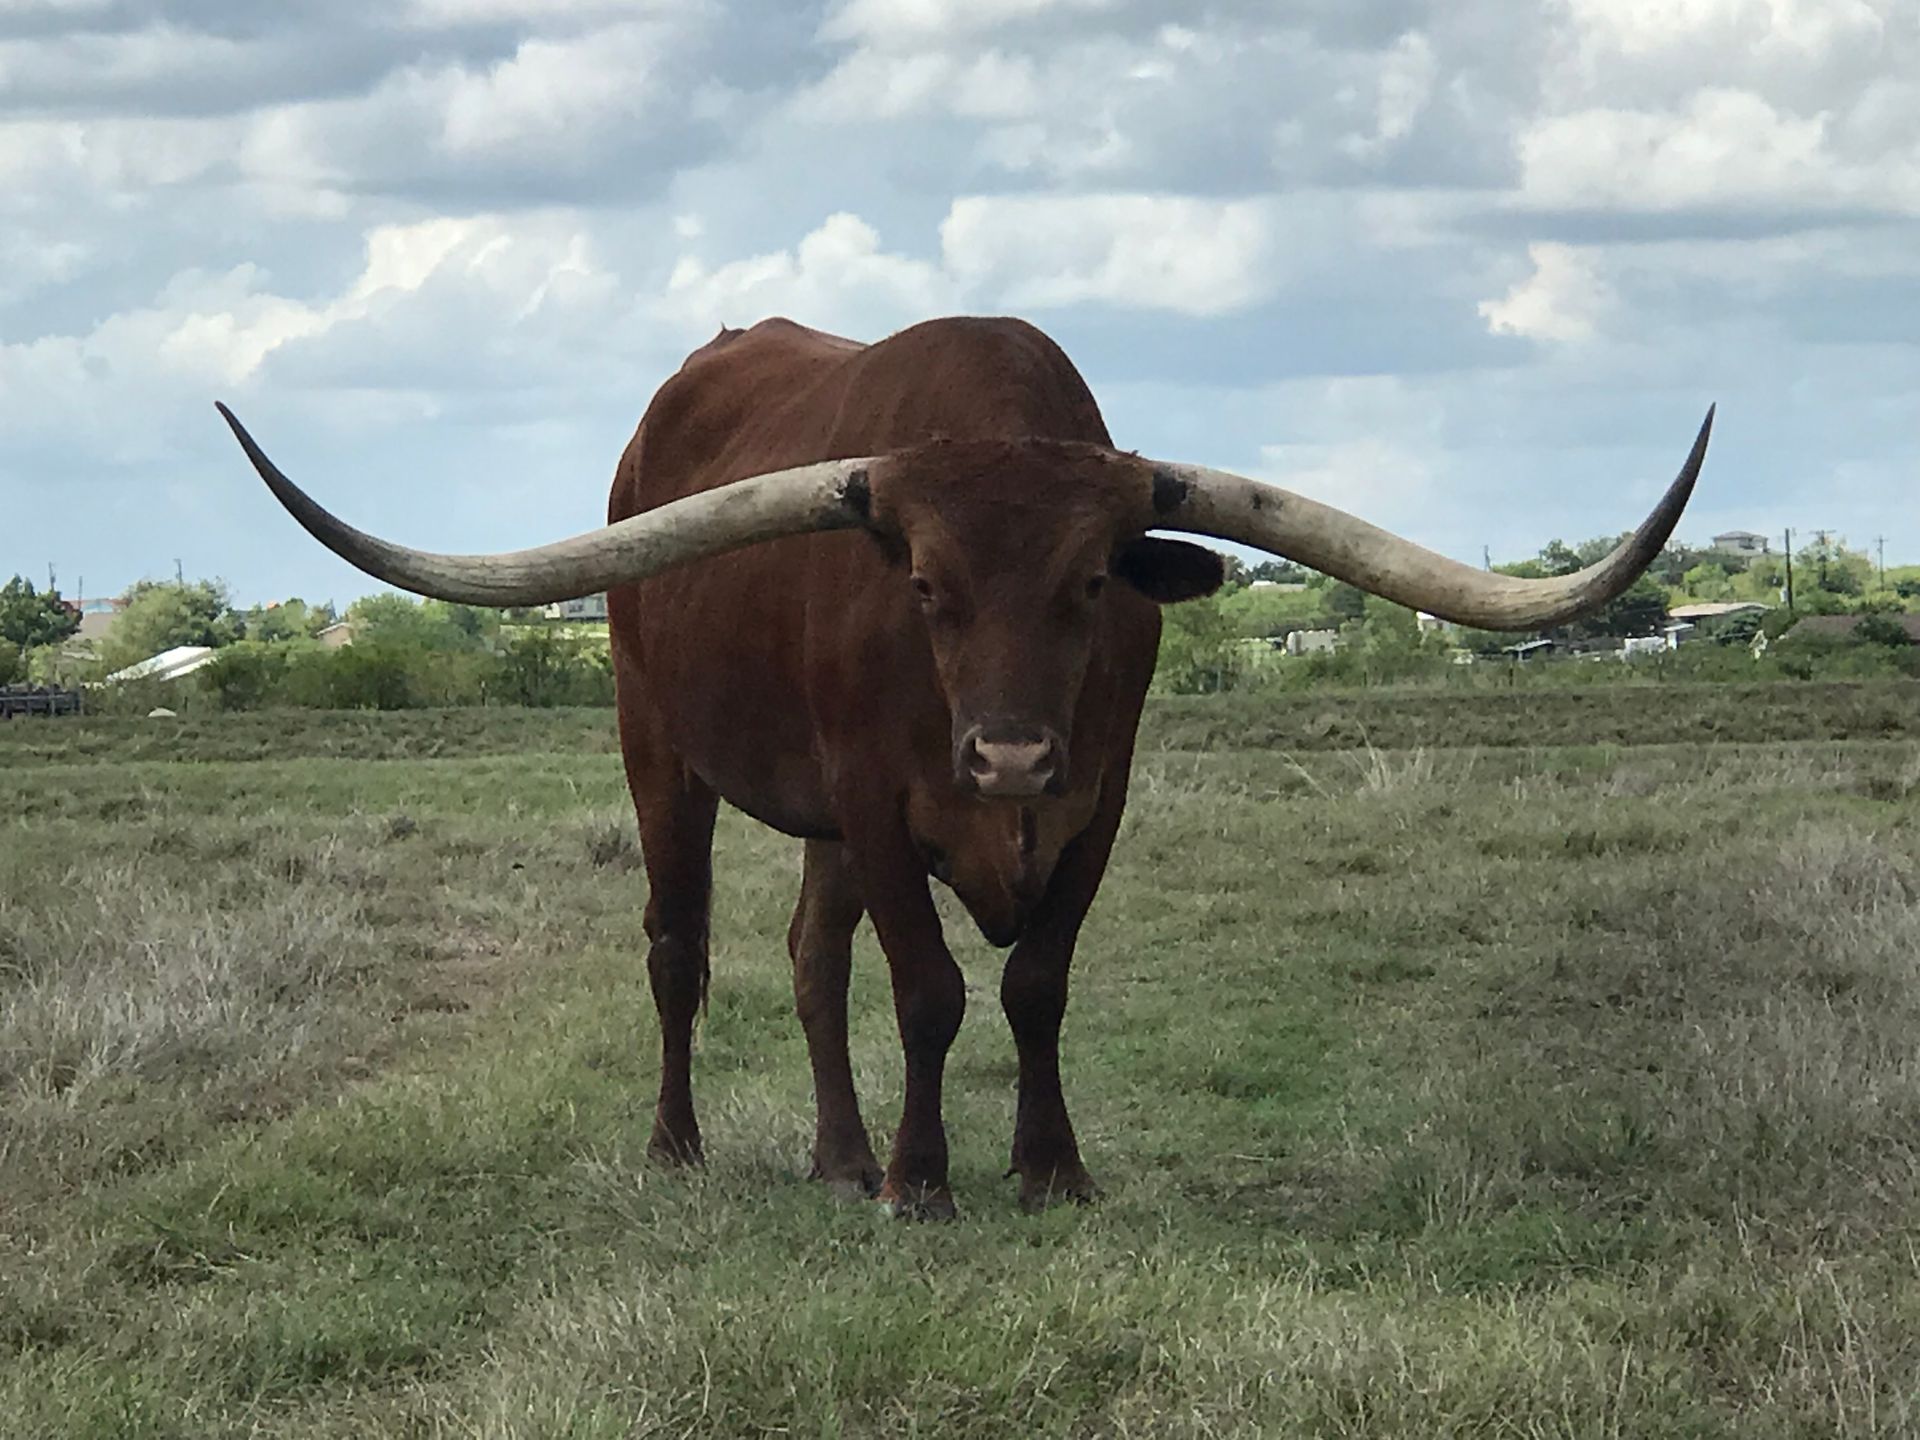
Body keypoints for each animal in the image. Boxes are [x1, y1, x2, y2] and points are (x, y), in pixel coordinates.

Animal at [219, 315, 1711, 1218]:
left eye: (1093, 581)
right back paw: (681, 1147)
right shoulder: (882, 807)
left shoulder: (1095, 802)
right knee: (678, 948)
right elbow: (930, 992)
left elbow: (1034, 987)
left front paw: (1047, 1170)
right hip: (658, 748)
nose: (1005, 754)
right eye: (927, 587)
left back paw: (835, 1156)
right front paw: (923, 1183)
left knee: (810, 962)